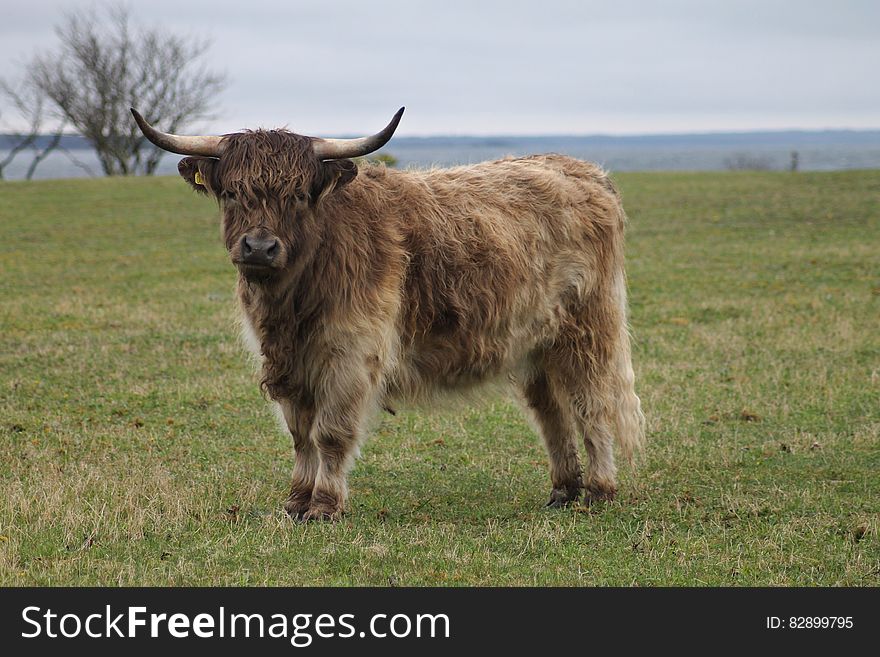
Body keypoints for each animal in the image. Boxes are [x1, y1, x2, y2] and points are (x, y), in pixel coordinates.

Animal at [132, 106, 648, 516]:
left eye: (298, 194)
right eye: (232, 192)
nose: (259, 247)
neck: (292, 300)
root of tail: (587, 172)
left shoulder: (351, 353)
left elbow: (331, 432)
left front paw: (324, 506)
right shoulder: (286, 361)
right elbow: (300, 433)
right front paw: (297, 500)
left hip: (587, 329)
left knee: (592, 404)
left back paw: (600, 490)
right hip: (534, 342)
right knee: (552, 412)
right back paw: (563, 491)